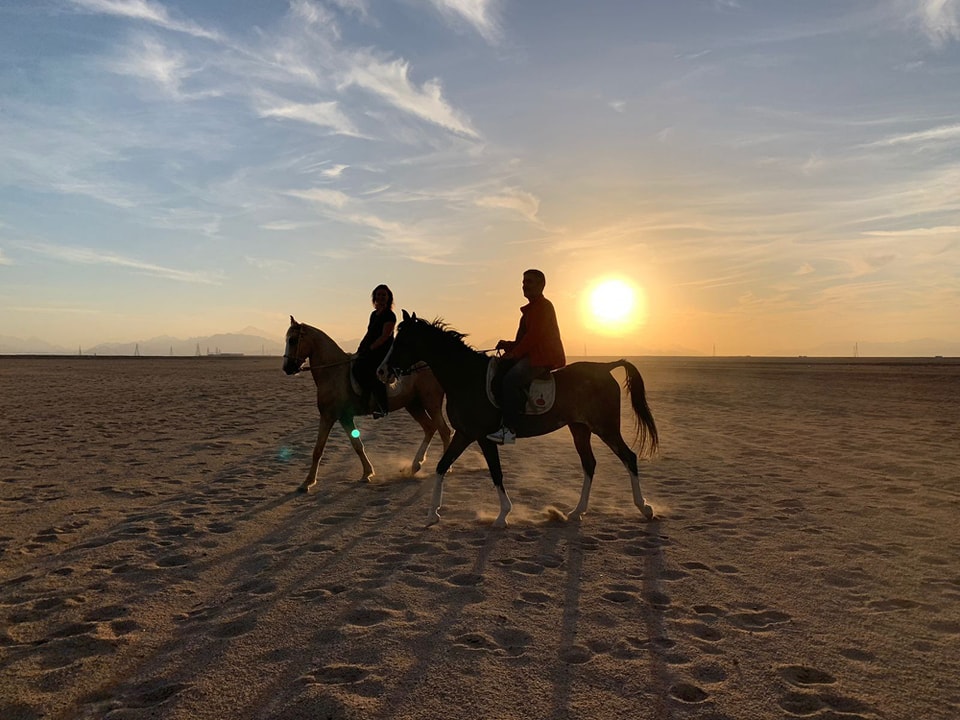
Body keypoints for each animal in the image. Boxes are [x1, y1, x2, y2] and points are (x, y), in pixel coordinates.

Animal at [282, 316, 451, 492]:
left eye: (292, 340)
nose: (287, 368)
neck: (334, 373)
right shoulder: (344, 417)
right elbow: (357, 445)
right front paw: (367, 473)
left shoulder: (328, 416)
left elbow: (318, 449)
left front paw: (306, 483)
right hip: (413, 405)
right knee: (430, 428)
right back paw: (414, 466)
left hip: (430, 403)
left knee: (444, 431)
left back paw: (443, 468)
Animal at [377, 311, 659, 527]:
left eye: (402, 341)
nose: (381, 371)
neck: (466, 377)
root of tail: (605, 367)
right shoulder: (465, 434)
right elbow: (441, 466)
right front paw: (432, 514)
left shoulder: (482, 437)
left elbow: (496, 473)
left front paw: (503, 515)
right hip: (580, 428)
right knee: (589, 464)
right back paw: (577, 512)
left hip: (605, 427)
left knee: (628, 457)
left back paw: (644, 508)